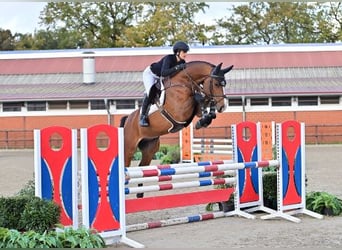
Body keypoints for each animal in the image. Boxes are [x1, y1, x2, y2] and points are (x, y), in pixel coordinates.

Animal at [119, 61, 234, 197]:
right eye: (216, 84)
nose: (223, 107)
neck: (184, 82)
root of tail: (128, 119)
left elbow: (205, 105)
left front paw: (203, 121)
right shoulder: (180, 110)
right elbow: (198, 99)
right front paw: (203, 114)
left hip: (150, 148)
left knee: (142, 167)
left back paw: (140, 194)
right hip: (129, 147)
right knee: (126, 163)